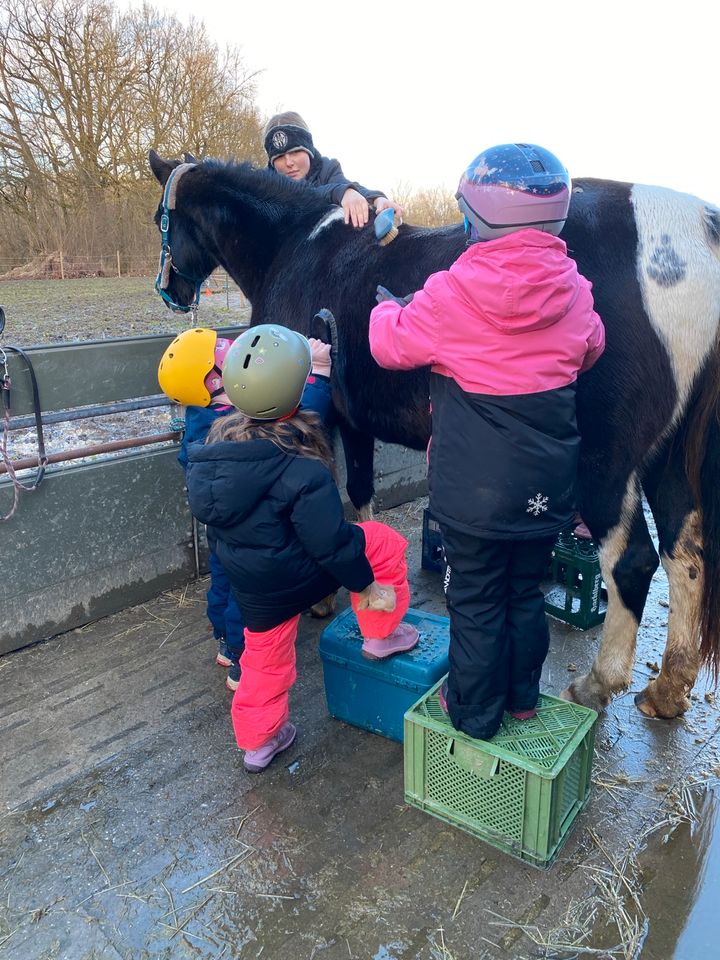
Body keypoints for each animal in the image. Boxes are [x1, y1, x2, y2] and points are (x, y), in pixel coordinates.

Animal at [148, 150, 720, 720]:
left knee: (633, 561)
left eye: (162, 219)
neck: (298, 246)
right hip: (666, 460)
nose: (172, 291)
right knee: (685, 557)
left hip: (606, 466)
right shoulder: (354, 424)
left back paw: (598, 685)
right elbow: (359, 496)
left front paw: (329, 599)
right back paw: (667, 689)